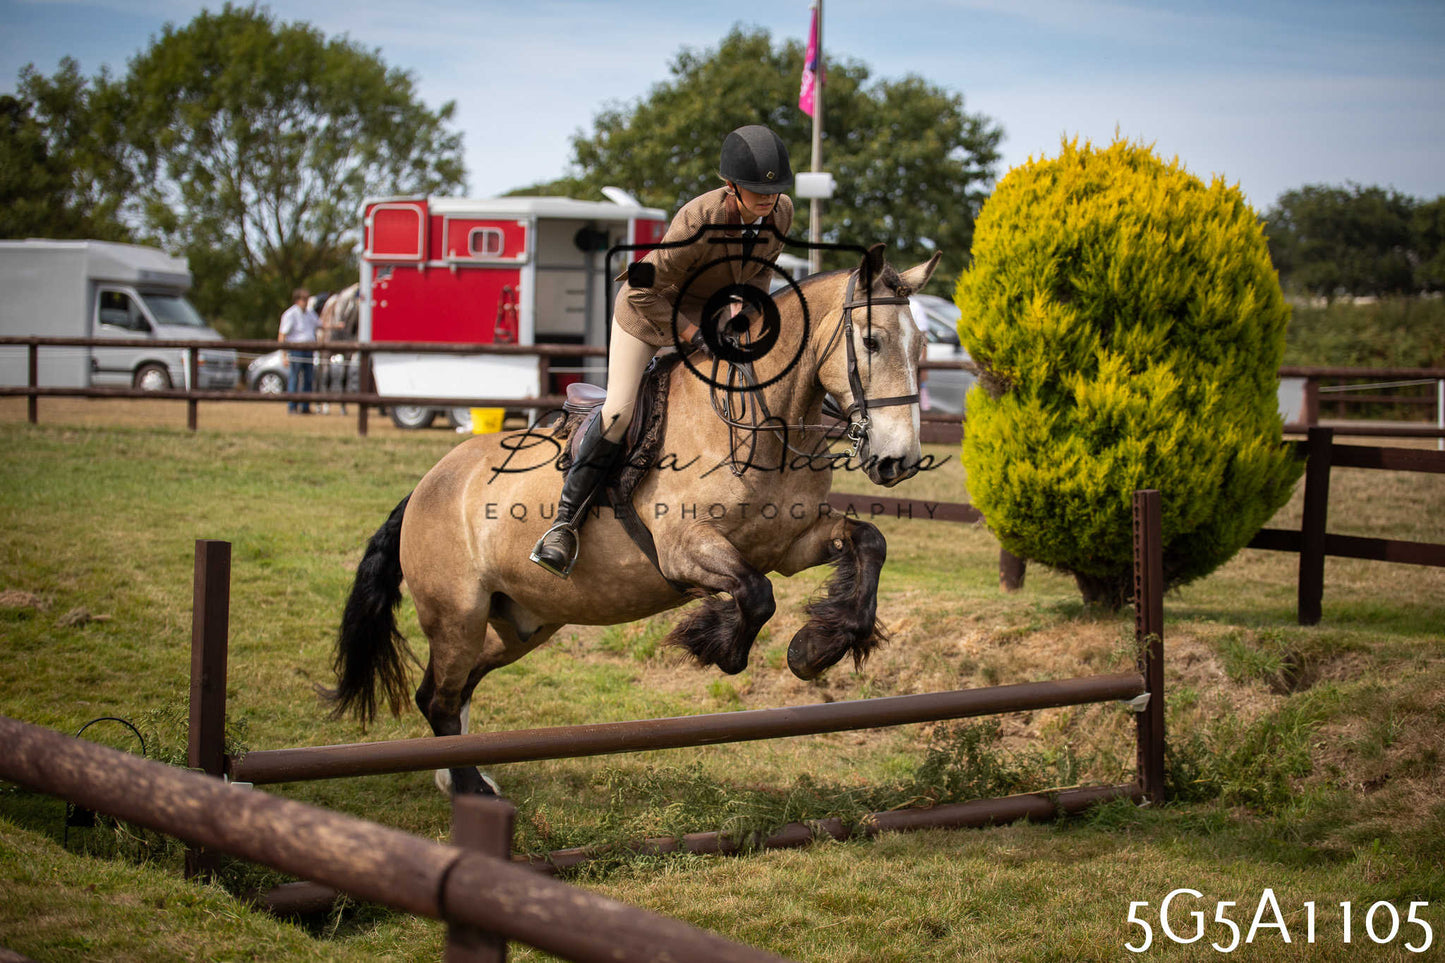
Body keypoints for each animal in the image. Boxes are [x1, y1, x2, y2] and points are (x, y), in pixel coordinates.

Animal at [327, 245, 941, 795]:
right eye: (871, 340)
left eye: (922, 345)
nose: (899, 460)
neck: (762, 420)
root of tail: (426, 486)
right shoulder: (684, 548)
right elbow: (755, 594)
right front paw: (715, 642)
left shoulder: (791, 544)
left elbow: (869, 542)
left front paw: (815, 649)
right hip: (458, 615)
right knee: (438, 696)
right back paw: (470, 787)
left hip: (520, 624)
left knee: (454, 691)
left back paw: (460, 777)